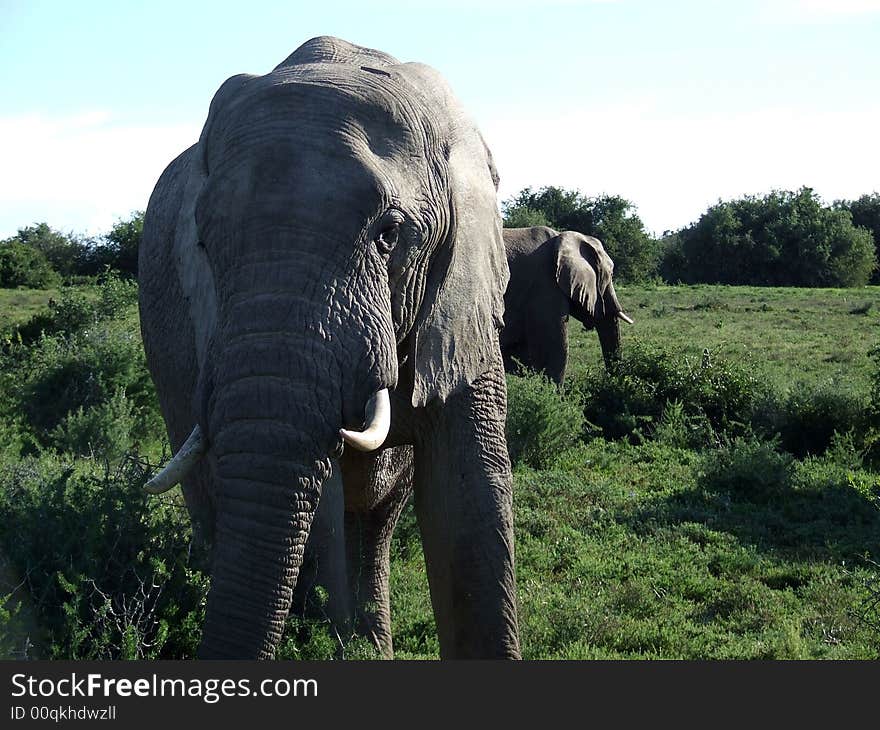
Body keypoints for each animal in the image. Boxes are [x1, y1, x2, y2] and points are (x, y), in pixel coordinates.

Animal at [138, 37, 520, 656]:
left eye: (389, 235)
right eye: (203, 244)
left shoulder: (463, 299)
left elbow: (469, 499)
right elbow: (322, 508)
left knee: (375, 523)